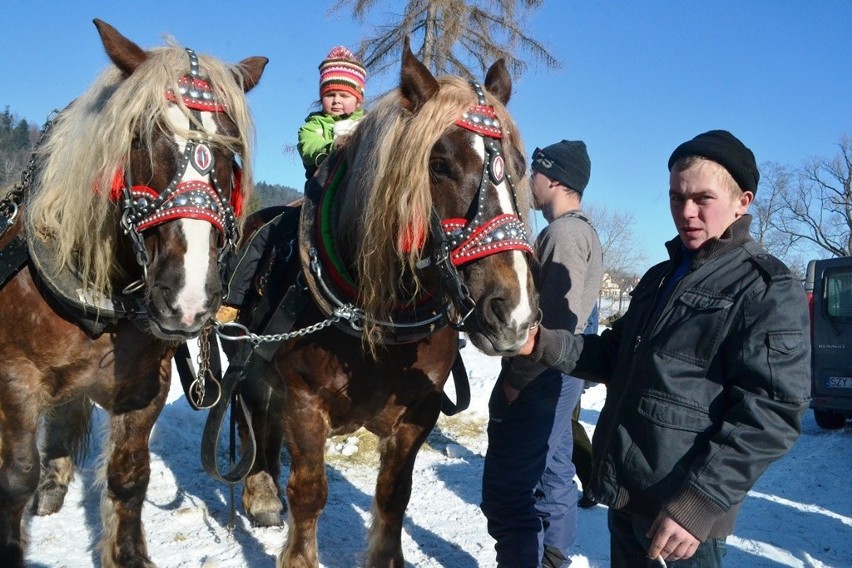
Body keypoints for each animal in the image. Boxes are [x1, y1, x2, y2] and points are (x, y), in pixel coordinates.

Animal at [0, 20, 264, 564]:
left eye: (230, 154)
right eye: (140, 139)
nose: (188, 300)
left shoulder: (145, 386)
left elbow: (127, 476)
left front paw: (127, 552)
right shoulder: (15, 377)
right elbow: (15, 478)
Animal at [226, 42, 540, 564]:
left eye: (518, 165)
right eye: (440, 164)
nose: (513, 314)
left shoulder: (418, 412)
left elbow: (395, 495)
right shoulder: (305, 403)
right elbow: (309, 492)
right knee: (250, 415)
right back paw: (261, 491)